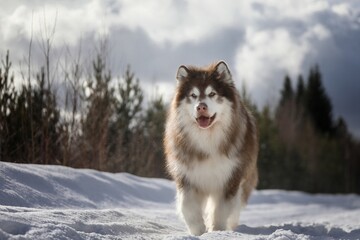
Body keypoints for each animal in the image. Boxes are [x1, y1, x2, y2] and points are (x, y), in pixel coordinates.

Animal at [163, 61, 258, 235]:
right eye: (193, 95)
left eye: (212, 94)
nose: (201, 107)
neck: (207, 138)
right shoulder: (186, 176)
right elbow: (188, 207)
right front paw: (199, 232)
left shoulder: (230, 178)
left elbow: (221, 210)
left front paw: (217, 231)